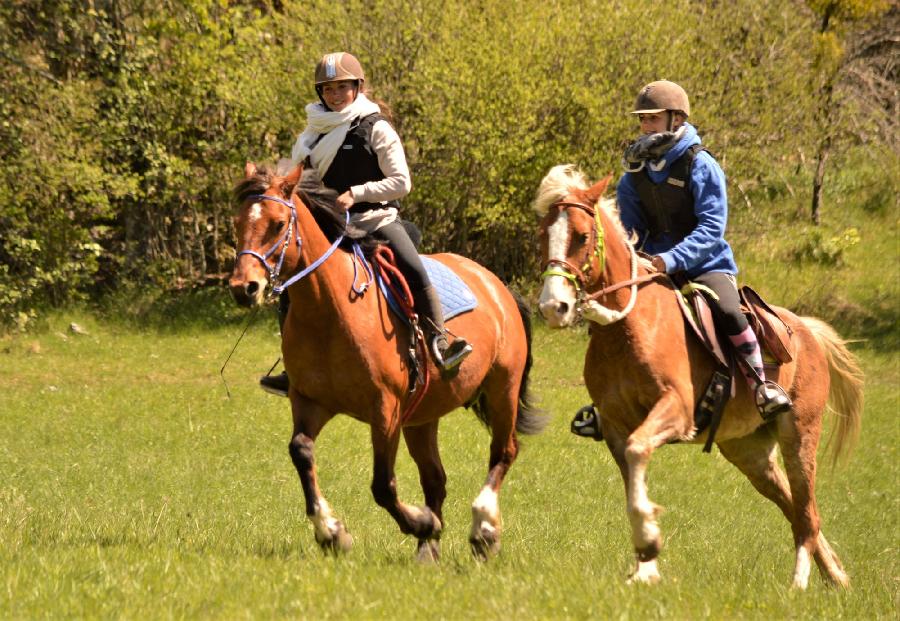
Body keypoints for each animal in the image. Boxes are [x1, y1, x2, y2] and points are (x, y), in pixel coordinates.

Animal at [229, 162, 544, 560]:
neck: (328, 311)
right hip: (422, 414)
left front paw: (419, 522)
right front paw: (331, 531)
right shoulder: (310, 401)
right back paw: (428, 551)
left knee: (503, 452)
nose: (244, 288)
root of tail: (496, 285)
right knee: (435, 478)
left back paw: (483, 530)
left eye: (277, 223)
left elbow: (382, 484)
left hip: (502, 389)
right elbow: (300, 451)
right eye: (238, 223)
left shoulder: (385, 410)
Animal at [536, 163, 864, 588]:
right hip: (750, 453)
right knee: (795, 509)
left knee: (807, 514)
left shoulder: (675, 410)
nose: (553, 307)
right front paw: (645, 565)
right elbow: (633, 484)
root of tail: (806, 330)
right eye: (543, 235)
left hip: (800, 436)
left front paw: (649, 543)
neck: (627, 327)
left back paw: (799, 582)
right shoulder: (614, 426)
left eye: (581, 236)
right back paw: (836, 576)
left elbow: (639, 454)